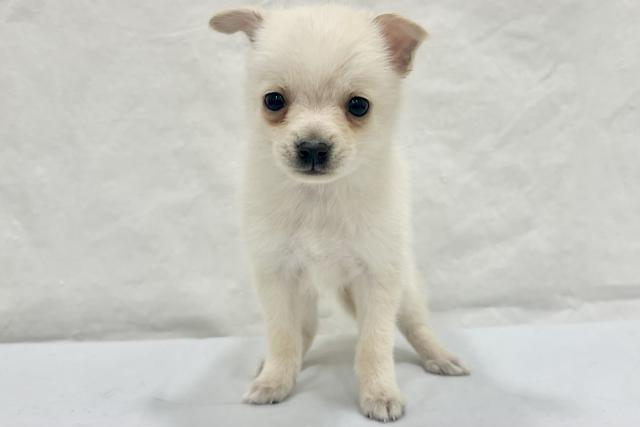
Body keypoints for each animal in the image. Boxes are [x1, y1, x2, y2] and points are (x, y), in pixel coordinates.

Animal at [210, 4, 468, 422]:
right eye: (273, 101)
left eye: (358, 106)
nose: (313, 147)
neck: (319, 198)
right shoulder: (278, 277)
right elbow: (283, 336)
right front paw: (275, 380)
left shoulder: (378, 279)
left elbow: (374, 343)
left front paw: (379, 392)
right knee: (305, 331)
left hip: (404, 288)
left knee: (415, 324)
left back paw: (440, 357)